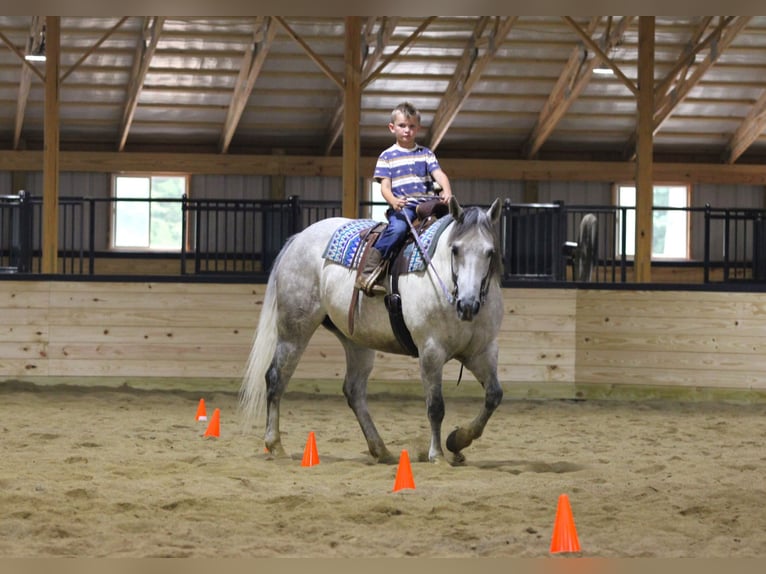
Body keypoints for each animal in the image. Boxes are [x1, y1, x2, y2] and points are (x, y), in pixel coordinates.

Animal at [239, 196, 504, 465]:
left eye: (490, 252)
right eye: (456, 249)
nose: (468, 305)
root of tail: (298, 238)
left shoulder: (482, 352)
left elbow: (494, 396)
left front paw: (457, 440)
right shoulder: (431, 351)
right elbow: (436, 406)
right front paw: (438, 455)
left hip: (356, 341)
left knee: (354, 391)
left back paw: (381, 450)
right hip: (294, 330)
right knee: (276, 377)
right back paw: (275, 445)